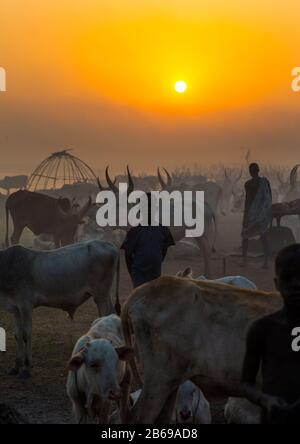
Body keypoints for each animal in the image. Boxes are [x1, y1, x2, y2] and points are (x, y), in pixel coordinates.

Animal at [0, 239, 119, 378]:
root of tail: (106, 243)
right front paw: (15, 367)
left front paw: (26, 369)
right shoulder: (16, 310)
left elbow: (25, 335)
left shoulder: (26, 306)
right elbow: (17, 335)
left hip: (101, 295)